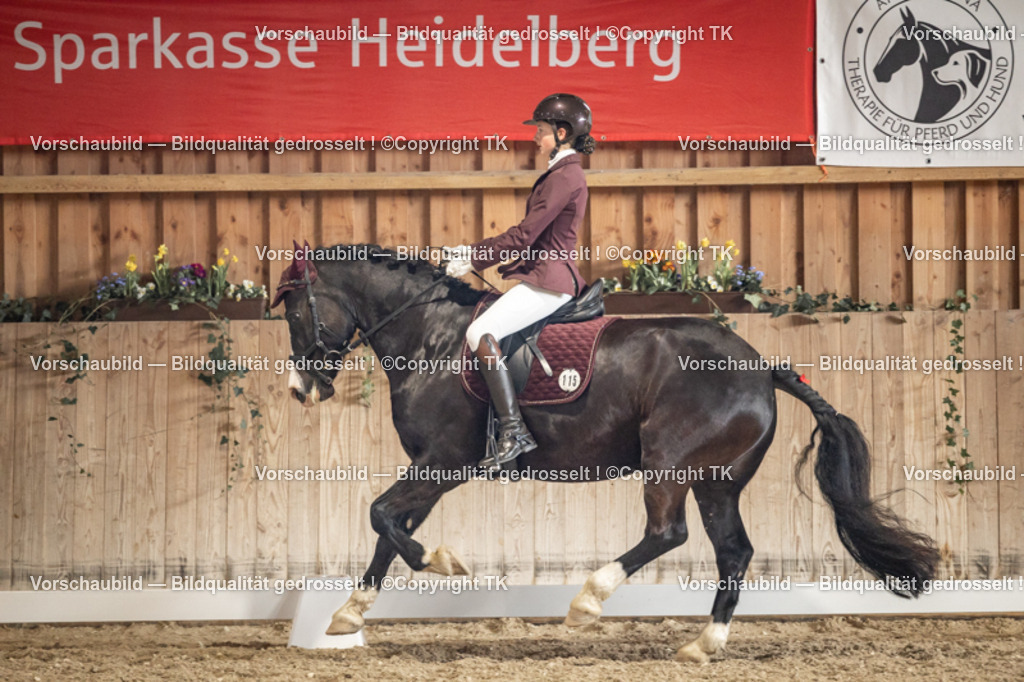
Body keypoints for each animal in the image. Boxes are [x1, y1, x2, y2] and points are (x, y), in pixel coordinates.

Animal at [277, 244, 939, 663]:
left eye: (293, 310)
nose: (302, 389)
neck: (431, 339)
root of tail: (760, 365)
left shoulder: (445, 462)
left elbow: (383, 518)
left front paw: (443, 562)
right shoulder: (430, 468)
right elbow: (388, 531)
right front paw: (349, 614)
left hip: (670, 464)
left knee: (669, 533)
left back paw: (588, 600)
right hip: (717, 479)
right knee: (733, 551)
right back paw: (703, 645)